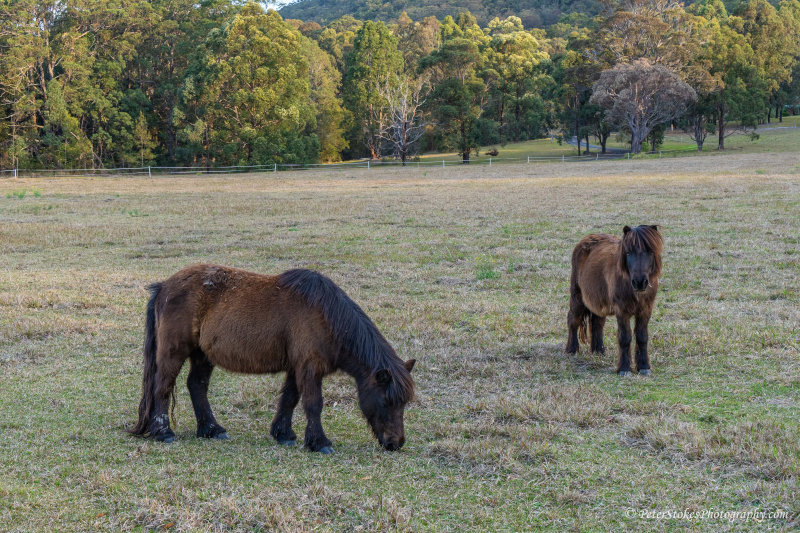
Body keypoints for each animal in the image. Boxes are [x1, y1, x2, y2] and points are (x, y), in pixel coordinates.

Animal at [128, 264, 416, 450]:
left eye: (404, 403)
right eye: (387, 401)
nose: (396, 443)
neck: (326, 316)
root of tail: (164, 286)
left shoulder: (297, 367)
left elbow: (290, 399)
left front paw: (284, 434)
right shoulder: (310, 367)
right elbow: (313, 403)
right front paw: (319, 443)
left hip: (202, 354)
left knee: (196, 386)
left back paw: (211, 430)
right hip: (173, 352)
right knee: (163, 387)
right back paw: (164, 433)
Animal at [564, 224, 664, 374]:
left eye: (650, 252)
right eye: (628, 253)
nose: (639, 282)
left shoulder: (646, 310)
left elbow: (642, 337)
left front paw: (644, 367)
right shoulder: (622, 310)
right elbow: (625, 337)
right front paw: (624, 369)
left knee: (597, 323)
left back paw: (599, 351)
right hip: (577, 297)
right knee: (573, 320)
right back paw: (571, 350)